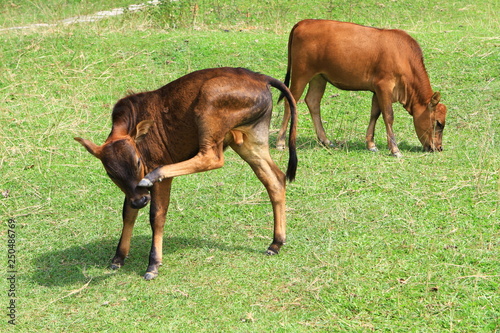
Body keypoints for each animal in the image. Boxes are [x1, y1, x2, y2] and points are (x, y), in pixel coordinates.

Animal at [75, 67, 296, 280]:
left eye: (137, 161)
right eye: (111, 173)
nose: (140, 201)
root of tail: (260, 77)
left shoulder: (156, 179)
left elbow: (157, 215)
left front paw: (153, 264)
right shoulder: (132, 191)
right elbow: (127, 213)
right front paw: (118, 257)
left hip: (210, 109)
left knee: (212, 157)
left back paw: (155, 175)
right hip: (250, 141)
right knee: (275, 179)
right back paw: (276, 243)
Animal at [278, 18, 450, 156]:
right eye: (438, 123)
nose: (439, 148)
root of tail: (304, 22)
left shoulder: (377, 89)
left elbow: (375, 114)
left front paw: (371, 145)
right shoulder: (384, 85)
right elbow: (388, 115)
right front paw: (395, 149)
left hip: (318, 77)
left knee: (313, 101)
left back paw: (325, 140)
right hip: (301, 73)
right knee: (289, 101)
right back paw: (280, 142)